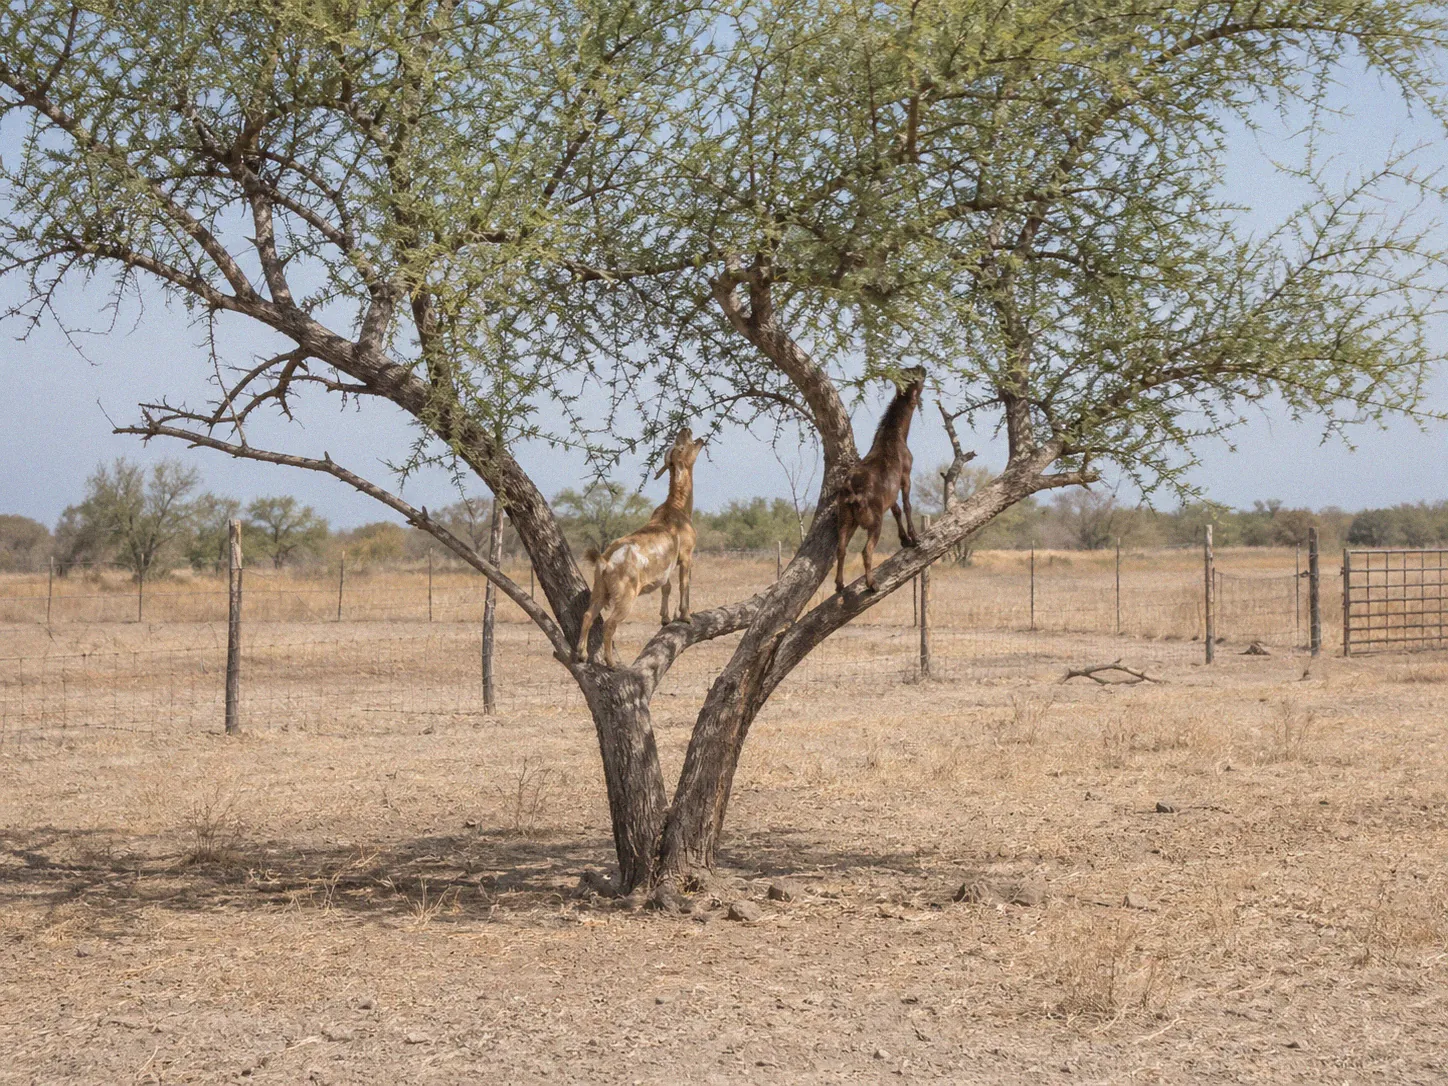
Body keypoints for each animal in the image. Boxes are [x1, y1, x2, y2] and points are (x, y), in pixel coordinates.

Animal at [574, 428, 706, 667]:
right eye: (681, 447)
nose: (686, 430)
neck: (676, 509)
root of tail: (606, 561)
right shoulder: (686, 555)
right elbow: (684, 584)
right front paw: (685, 616)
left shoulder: (665, 568)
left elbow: (666, 586)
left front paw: (665, 618)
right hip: (626, 596)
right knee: (609, 623)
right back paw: (611, 663)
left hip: (600, 589)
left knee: (588, 615)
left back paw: (582, 654)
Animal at [835, 367, 926, 593]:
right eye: (916, 378)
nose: (923, 367)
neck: (895, 434)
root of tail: (852, 492)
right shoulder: (905, 474)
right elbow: (907, 506)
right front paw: (914, 538)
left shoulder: (889, 492)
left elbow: (896, 510)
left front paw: (904, 539)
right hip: (874, 521)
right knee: (866, 550)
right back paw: (872, 584)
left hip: (845, 517)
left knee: (841, 548)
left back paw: (840, 585)